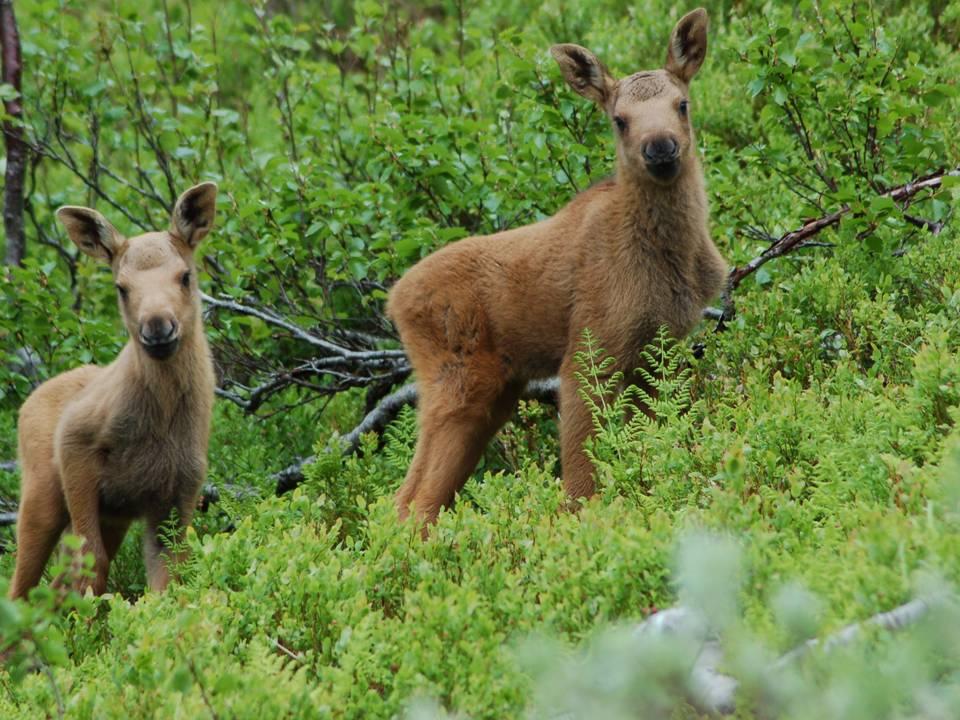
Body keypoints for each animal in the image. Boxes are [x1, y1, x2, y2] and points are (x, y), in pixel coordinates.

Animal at [7, 183, 218, 600]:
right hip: (42, 494)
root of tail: (27, 403)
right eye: (121, 288)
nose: (158, 327)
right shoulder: (75, 448)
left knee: (52, 589)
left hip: (114, 516)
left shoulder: (179, 492)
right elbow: (92, 565)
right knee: (22, 588)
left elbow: (167, 582)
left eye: (185, 276)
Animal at [390, 7, 728, 524]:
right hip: (459, 383)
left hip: (497, 392)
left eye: (682, 104)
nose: (661, 148)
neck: (671, 260)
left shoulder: (659, 350)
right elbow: (581, 480)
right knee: (412, 502)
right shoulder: (589, 352)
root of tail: (393, 302)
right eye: (619, 120)